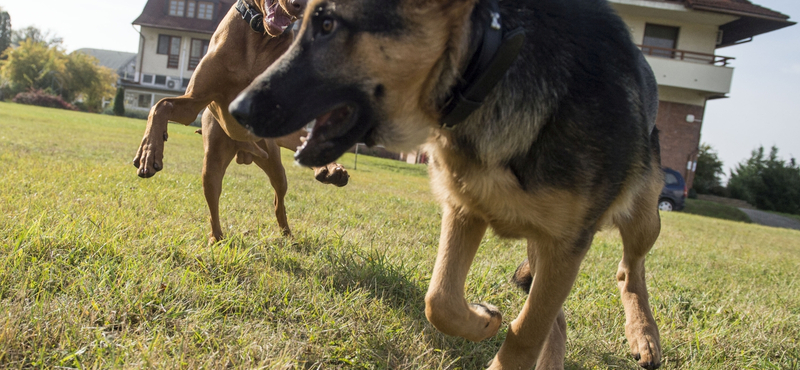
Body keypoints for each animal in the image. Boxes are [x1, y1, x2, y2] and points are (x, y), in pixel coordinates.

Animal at [132, 0, 346, 241]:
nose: (298, 5)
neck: (259, 36)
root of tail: (243, 153)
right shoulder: (196, 102)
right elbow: (161, 106)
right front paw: (148, 153)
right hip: (212, 164)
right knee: (214, 207)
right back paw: (216, 238)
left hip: (275, 164)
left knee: (278, 200)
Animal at [230, 0, 664, 368]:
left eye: (327, 25)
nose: (235, 110)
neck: (488, 65)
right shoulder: (466, 210)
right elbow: (439, 300)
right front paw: (485, 320)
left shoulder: (565, 245)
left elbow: (525, 334)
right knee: (557, 320)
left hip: (642, 217)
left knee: (629, 269)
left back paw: (644, 337)